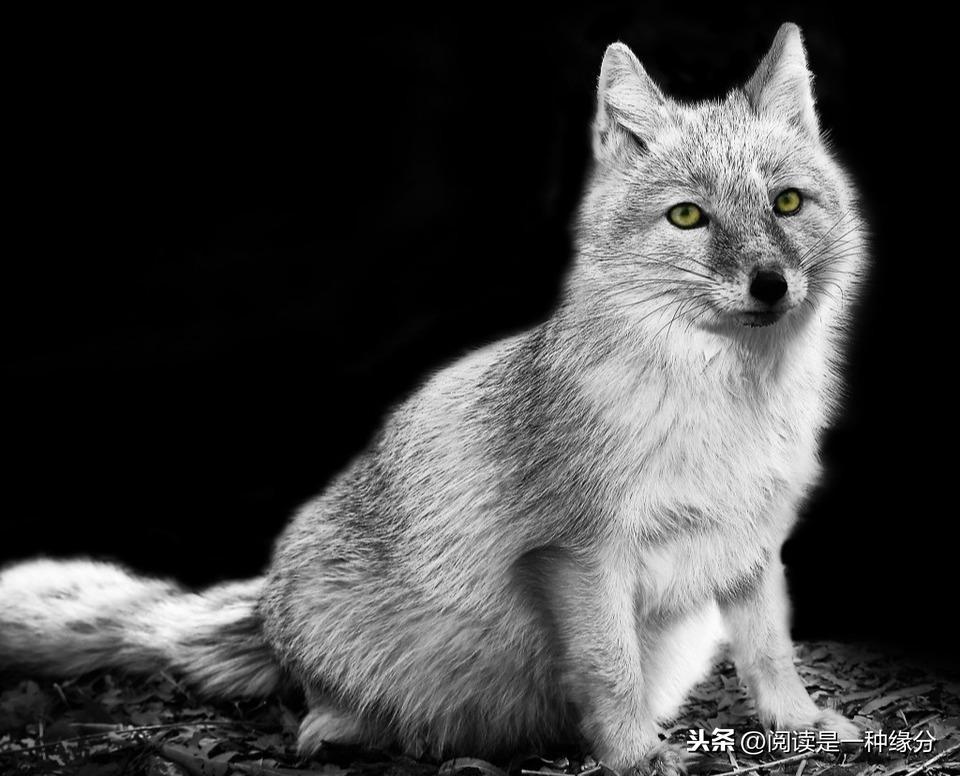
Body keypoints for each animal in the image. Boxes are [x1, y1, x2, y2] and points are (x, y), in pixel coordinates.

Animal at [0, 22, 868, 776]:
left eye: (787, 204)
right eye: (689, 216)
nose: (769, 284)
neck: (728, 411)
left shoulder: (753, 545)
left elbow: (770, 650)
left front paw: (798, 724)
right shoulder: (579, 554)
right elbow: (609, 667)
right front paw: (631, 756)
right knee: (325, 702)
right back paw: (348, 729)